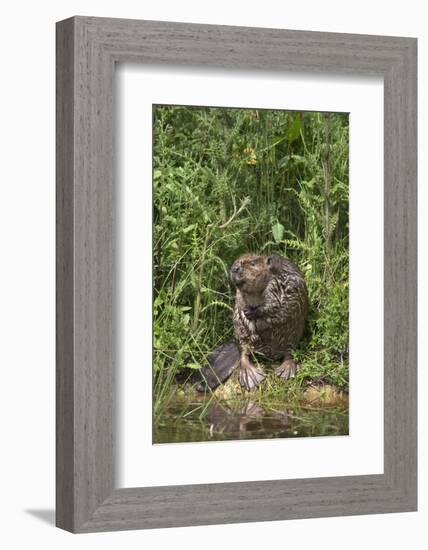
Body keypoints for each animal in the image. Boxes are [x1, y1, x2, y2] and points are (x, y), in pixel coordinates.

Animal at [231, 254, 308, 392]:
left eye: (253, 263)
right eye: (236, 261)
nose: (235, 268)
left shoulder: (278, 284)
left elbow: (276, 306)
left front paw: (255, 314)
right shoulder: (239, 295)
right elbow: (240, 309)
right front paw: (253, 331)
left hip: (293, 336)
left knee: (289, 352)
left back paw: (285, 371)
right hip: (240, 335)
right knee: (244, 353)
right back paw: (251, 376)